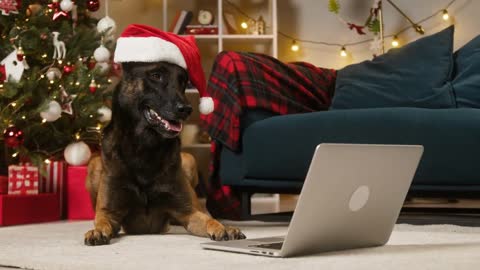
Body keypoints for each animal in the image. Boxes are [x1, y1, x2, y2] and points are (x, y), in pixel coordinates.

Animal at [83, 61, 246, 247]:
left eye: (183, 81)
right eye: (156, 75)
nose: (186, 109)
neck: (144, 147)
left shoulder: (188, 212)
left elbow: (209, 220)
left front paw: (223, 227)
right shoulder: (109, 213)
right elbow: (102, 221)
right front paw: (96, 231)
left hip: (189, 161)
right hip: (94, 165)